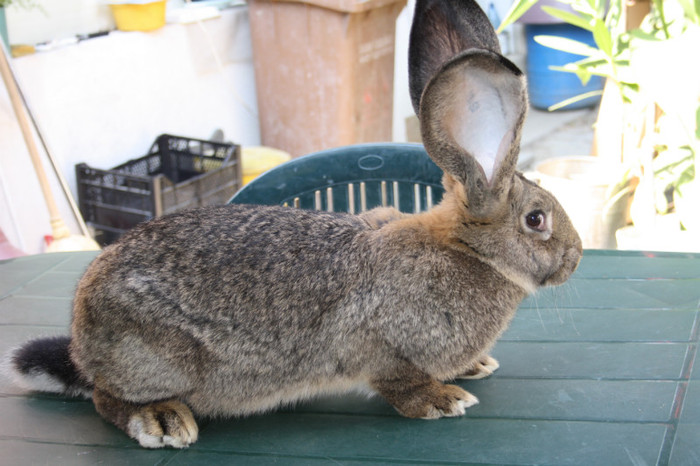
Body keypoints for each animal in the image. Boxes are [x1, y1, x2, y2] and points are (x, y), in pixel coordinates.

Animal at [8, 0, 584, 450]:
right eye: (537, 219)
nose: (576, 258)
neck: (468, 249)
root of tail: (82, 340)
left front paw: (474, 367)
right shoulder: (383, 348)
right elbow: (402, 385)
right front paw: (444, 399)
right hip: (155, 358)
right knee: (106, 398)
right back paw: (162, 421)